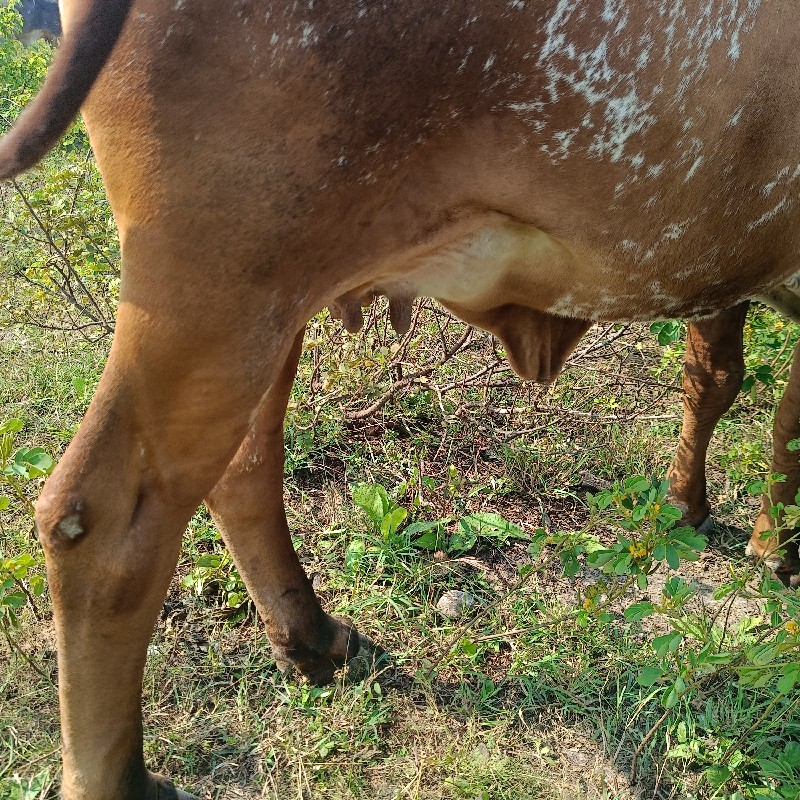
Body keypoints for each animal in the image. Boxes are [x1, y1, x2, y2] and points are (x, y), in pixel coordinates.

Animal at [1, 1, 800, 800]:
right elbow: (785, 418)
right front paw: (776, 547)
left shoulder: (721, 269)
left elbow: (713, 376)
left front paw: (688, 504)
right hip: (217, 294)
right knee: (103, 524)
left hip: (270, 305)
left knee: (243, 467)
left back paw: (313, 640)